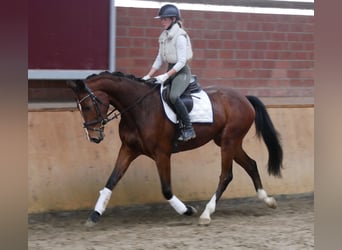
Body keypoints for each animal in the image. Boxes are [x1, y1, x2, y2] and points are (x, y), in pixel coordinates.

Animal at [67, 71, 284, 227]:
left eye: (88, 106)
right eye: (79, 108)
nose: (94, 137)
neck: (139, 108)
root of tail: (244, 98)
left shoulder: (161, 153)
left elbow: (166, 189)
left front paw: (187, 210)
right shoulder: (128, 149)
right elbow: (111, 181)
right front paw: (94, 215)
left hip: (229, 141)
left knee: (226, 175)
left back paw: (206, 213)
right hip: (229, 142)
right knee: (251, 165)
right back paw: (267, 200)